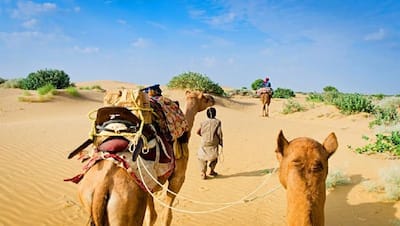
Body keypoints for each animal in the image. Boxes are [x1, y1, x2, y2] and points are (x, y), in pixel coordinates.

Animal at [78, 89, 216, 225]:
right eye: (205, 97)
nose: (213, 98)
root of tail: (100, 190)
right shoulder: (177, 178)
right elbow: (165, 216)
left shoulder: (149, 185)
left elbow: (151, 215)